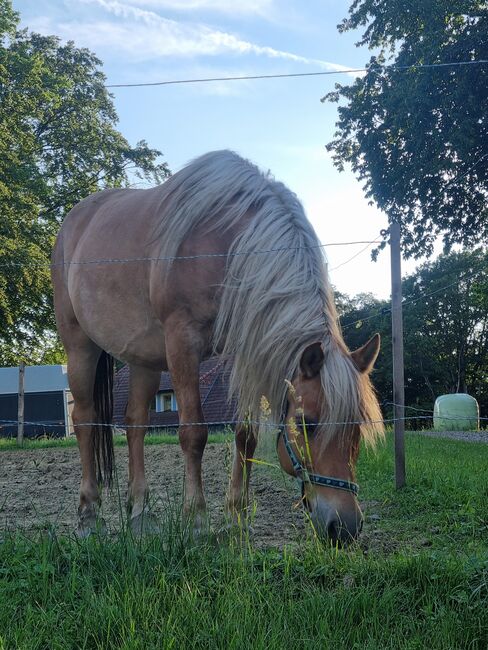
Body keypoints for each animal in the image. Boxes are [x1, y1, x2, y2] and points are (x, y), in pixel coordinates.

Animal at [50, 148, 386, 540]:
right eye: (307, 424)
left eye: (356, 425)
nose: (344, 527)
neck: (228, 246)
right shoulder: (182, 342)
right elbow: (193, 434)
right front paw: (196, 519)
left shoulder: (240, 351)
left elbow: (246, 434)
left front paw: (237, 515)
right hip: (79, 346)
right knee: (84, 420)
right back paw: (89, 514)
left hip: (143, 359)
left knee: (135, 423)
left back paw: (140, 514)